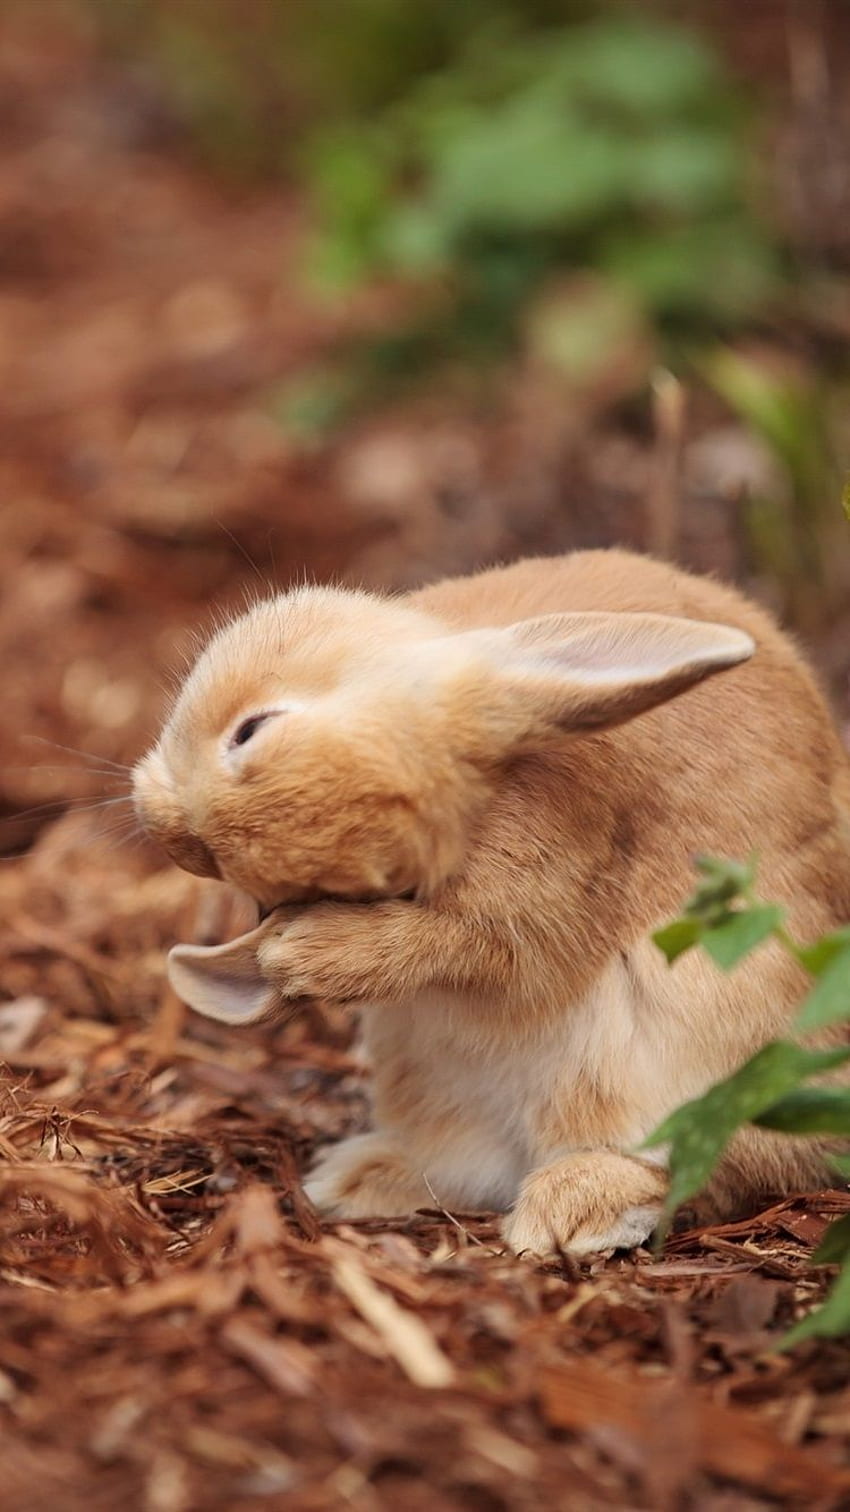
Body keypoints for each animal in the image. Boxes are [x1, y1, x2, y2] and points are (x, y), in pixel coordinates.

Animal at [129, 550, 846, 1257]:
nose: (172, 834)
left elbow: (471, 947)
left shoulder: (541, 891)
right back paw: (357, 1178)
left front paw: (301, 956)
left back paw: (573, 1208)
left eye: (252, 730)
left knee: (715, 1166)